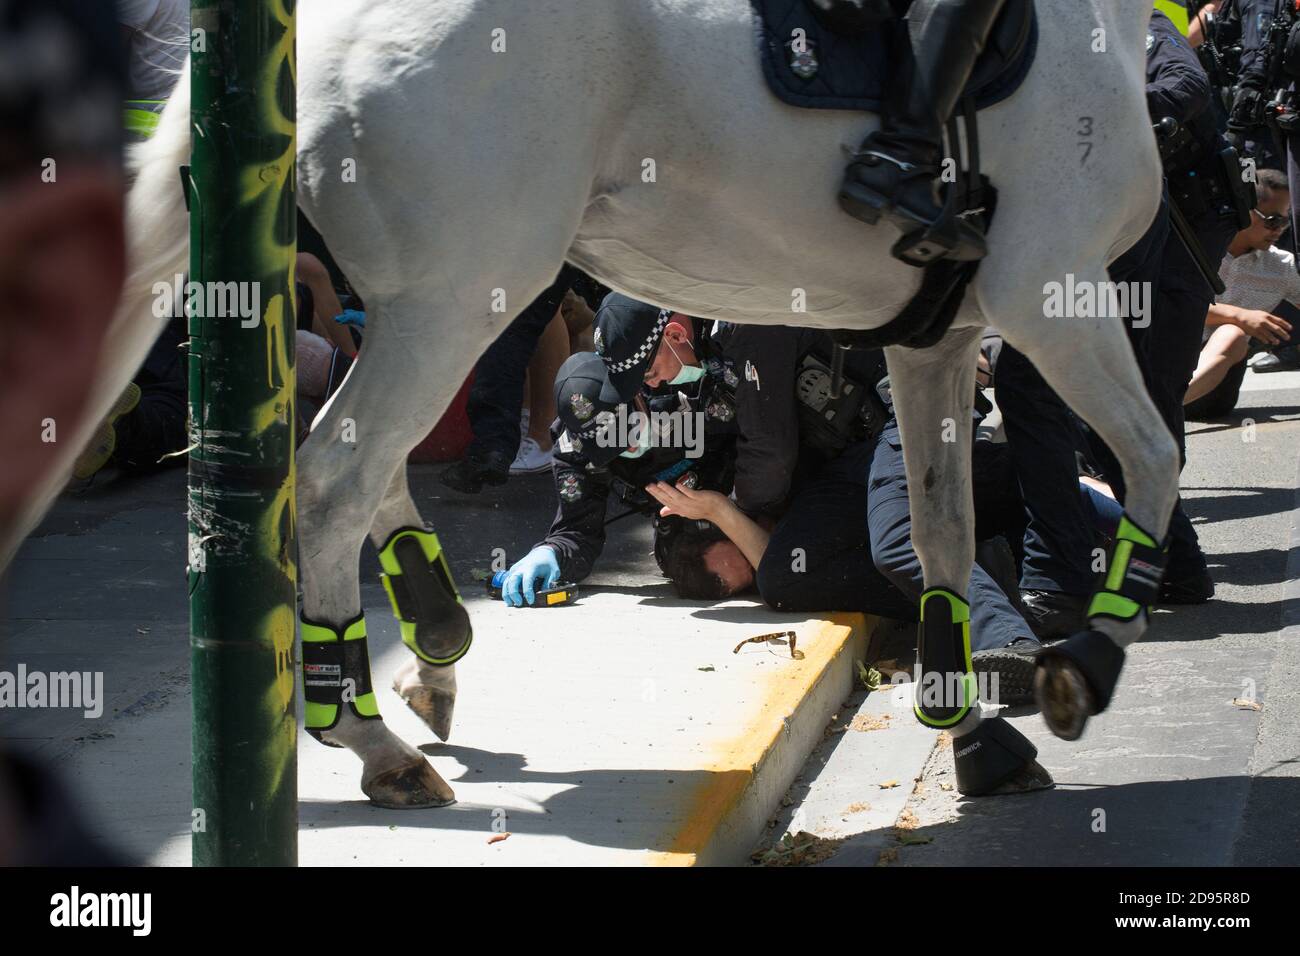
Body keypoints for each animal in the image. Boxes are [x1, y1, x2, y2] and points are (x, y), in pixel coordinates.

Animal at [17, 0, 1180, 806]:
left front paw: (973, 732)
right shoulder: (1053, 289)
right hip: (461, 292)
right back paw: (373, 740)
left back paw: (429, 634)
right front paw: (1087, 658)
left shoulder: (938, 336)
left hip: (444, 300)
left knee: (358, 467)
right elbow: (1151, 456)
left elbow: (942, 535)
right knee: (337, 477)